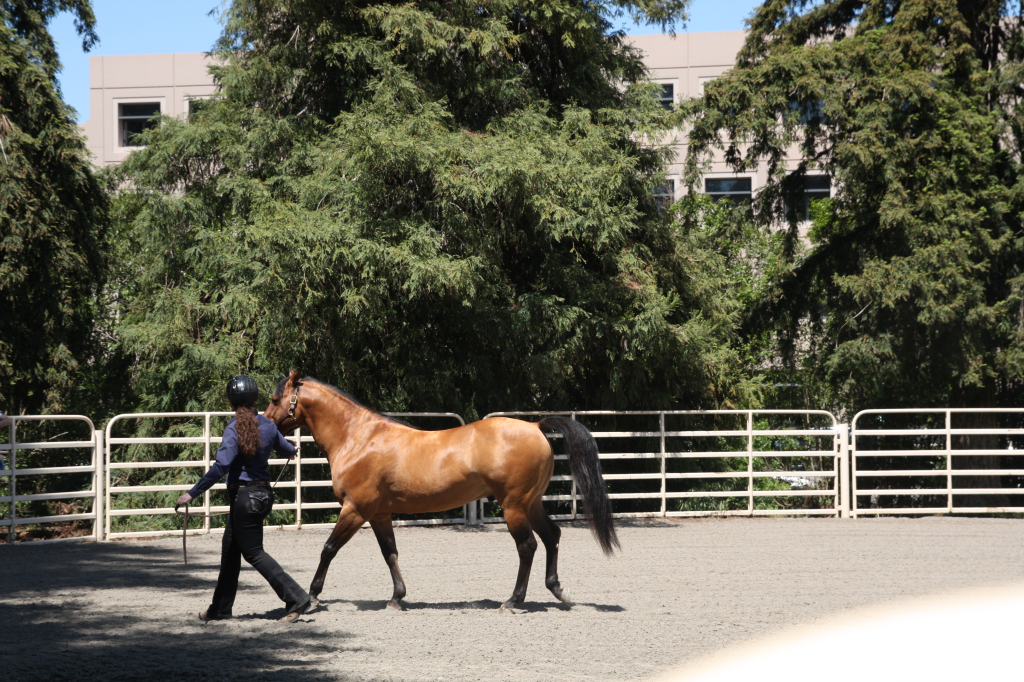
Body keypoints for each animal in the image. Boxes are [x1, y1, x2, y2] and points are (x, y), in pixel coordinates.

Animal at [262, 370, 619, 613]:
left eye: (275, 399)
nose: (263, 424)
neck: (359, 438)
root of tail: (534, 426)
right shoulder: (379, 514)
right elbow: (390, 553)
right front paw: (397, 597)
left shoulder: (355, 509)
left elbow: (328, 549)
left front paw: (312, 596)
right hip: (531, 504)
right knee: (551, 536)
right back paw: (558, 591)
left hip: (514, 506)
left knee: (527, 546)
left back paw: (513, 601)